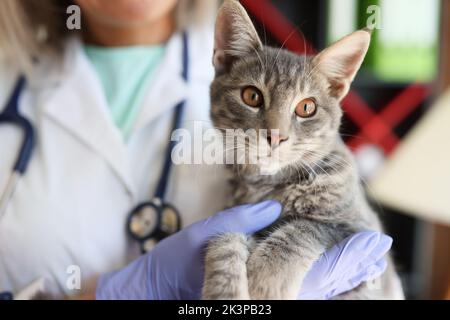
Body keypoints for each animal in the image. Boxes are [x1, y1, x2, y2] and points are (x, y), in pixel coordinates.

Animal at [204, 0, 404, 300]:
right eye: (252, 96)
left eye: (306, 107)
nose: (276, 136)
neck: (271, 184)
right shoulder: (235, 212)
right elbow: (224, 236)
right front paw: (224, 289)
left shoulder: (363, 233)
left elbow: (305, 227)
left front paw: (267, 276)